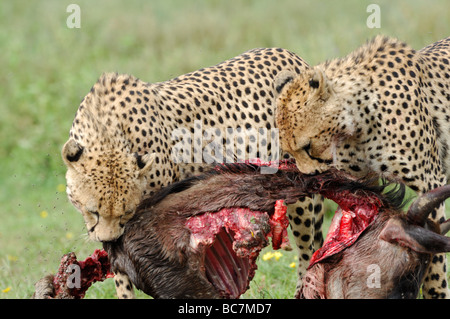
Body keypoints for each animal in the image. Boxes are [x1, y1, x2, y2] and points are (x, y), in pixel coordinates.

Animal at [60, 48, 324, 300]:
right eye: (93, 211)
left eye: (126, 212)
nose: (108, 239)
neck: (106, 132)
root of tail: (289, 54)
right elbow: (122, 275)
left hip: (299, 189)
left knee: (308, 249)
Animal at [274, 36, 450, 298]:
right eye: (288, 150)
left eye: (307, 146)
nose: (307, 178)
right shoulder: (362, 183)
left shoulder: (430, 181)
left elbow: (436, 267)